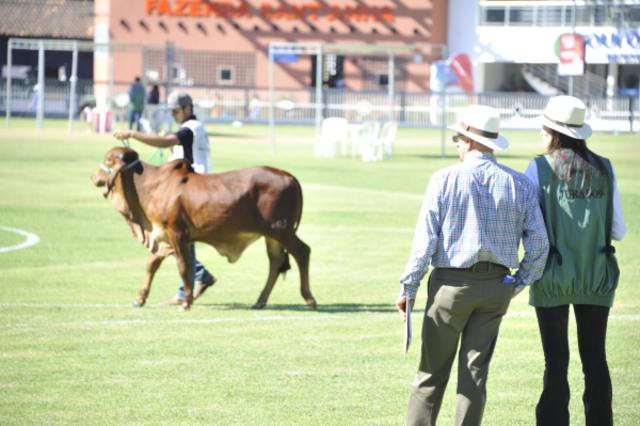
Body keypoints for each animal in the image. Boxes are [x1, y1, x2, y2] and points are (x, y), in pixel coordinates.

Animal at [91, 146, 316, 310]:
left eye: (108, 159)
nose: (93, 176)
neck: (150, 186)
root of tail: (289, 176)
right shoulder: (163, 235)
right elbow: (152, 264)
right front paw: (140, 298)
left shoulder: (177, 233)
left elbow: (183, 267)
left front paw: (186, 302)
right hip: (272, 236)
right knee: (276, 262)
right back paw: (260, 301)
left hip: (281, 230)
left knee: (302, 252)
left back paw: (309, 298)